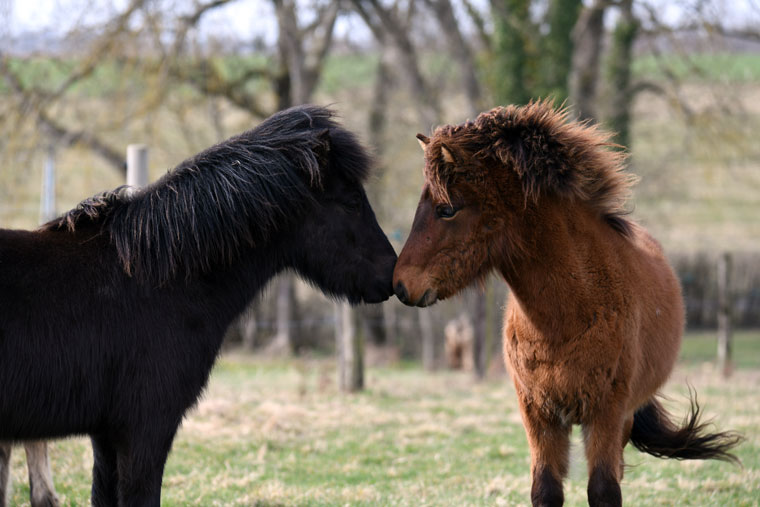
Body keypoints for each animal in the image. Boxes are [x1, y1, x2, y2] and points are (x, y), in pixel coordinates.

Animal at [394, 101, 740, 506]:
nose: (400, 284)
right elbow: (546, 488)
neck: (566, 317)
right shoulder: (538, 414)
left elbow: (604, 489)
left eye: (447, 209)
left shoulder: (606, 413)